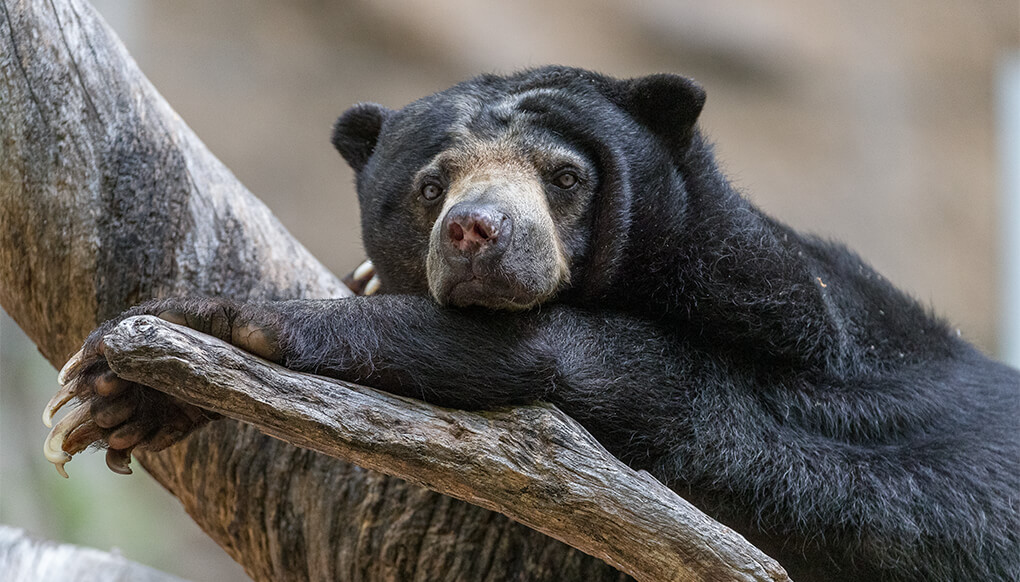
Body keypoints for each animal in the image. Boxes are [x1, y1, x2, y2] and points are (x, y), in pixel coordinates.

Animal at [45, 66, 1020, 578]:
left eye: (565, 176)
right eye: (430, 185)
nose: (477, 231)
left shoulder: (783, 379)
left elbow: (537, 355)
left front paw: (199, 320)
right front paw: (112, 400)